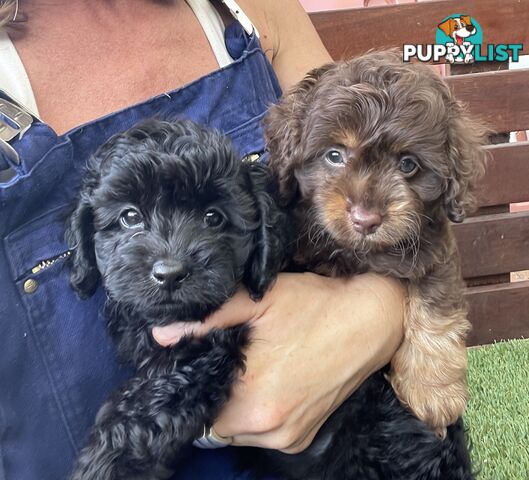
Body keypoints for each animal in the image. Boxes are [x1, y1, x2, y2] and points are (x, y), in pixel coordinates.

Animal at [66, 118, 290, 478]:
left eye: (213, 217)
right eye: (130, 217)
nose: (170, 273)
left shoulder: (208, 350)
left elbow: (144, 408)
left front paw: (102, 463)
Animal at [268, 50, 486, 434]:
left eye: (408, 164)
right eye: (334, 155)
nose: (365, 219)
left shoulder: (435, 253)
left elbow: (435, 310)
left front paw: (432, 392)